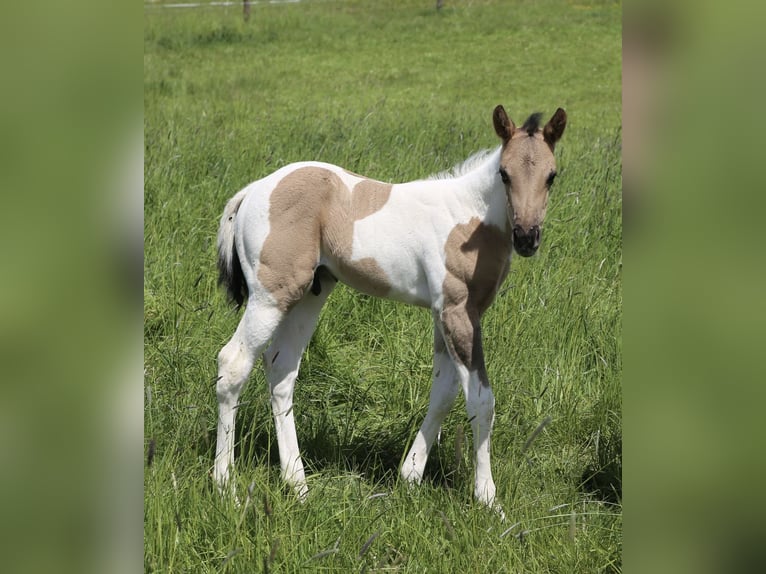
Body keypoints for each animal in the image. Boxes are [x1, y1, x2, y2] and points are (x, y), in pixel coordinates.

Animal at [214, 105, 567, 513]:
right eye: (504, 173)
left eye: (551, 176)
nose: (527, 238)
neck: (470, 219)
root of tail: (253, 190)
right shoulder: (458, 312)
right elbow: (481, 401)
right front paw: (488, 499)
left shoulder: (445, 314)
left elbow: (444, 392)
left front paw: (410, 475)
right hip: (270, 296)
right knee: (233, 363)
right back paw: (225, 485)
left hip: (309, 294)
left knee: (281, 369)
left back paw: (298, 484)